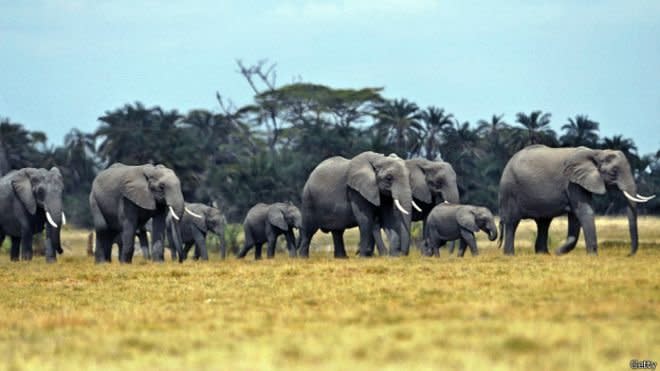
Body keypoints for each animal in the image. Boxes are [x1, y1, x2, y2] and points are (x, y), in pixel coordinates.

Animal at [500, 145, 656, 256]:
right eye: (613, 172)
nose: (628, 254)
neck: (596, 152)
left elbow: (575, 217)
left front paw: (558, 253)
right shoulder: (572, 182)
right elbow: (584, 211)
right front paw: (592, 256)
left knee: (543, 223)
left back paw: (544, 254)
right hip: (509, 191)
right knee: (512, 222)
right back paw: (510, 255)